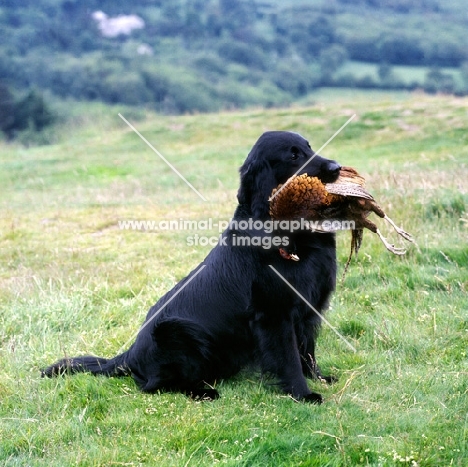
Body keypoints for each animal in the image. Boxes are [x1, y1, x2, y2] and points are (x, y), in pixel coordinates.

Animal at [43, 131, 340, 402]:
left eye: (309, 147)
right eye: (293, 156)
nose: (336, 168)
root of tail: (130, 354)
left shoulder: (308, 309)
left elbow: (307, 351)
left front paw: (319, 378)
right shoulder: (274, 315)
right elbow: (289, 358)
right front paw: (303, 394)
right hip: (174, 332)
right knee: (154, 385)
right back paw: (203, 392)